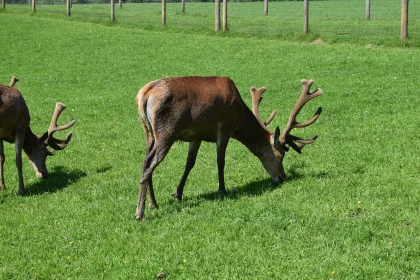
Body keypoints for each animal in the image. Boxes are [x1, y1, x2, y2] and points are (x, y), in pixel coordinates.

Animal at [135, 77, 322, 221]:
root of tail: (144, 94)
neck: (239, 118)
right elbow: (220, 161)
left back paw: (153, 203)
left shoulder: (197, 134)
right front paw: (222, 191)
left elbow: (190, 163)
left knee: (145, 161)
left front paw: (178, 194)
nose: (282, 177)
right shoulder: (224, 128)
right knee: (148, 164)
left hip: (149, 132)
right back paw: (139, 212)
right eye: (280, 154)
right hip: (167, 131)